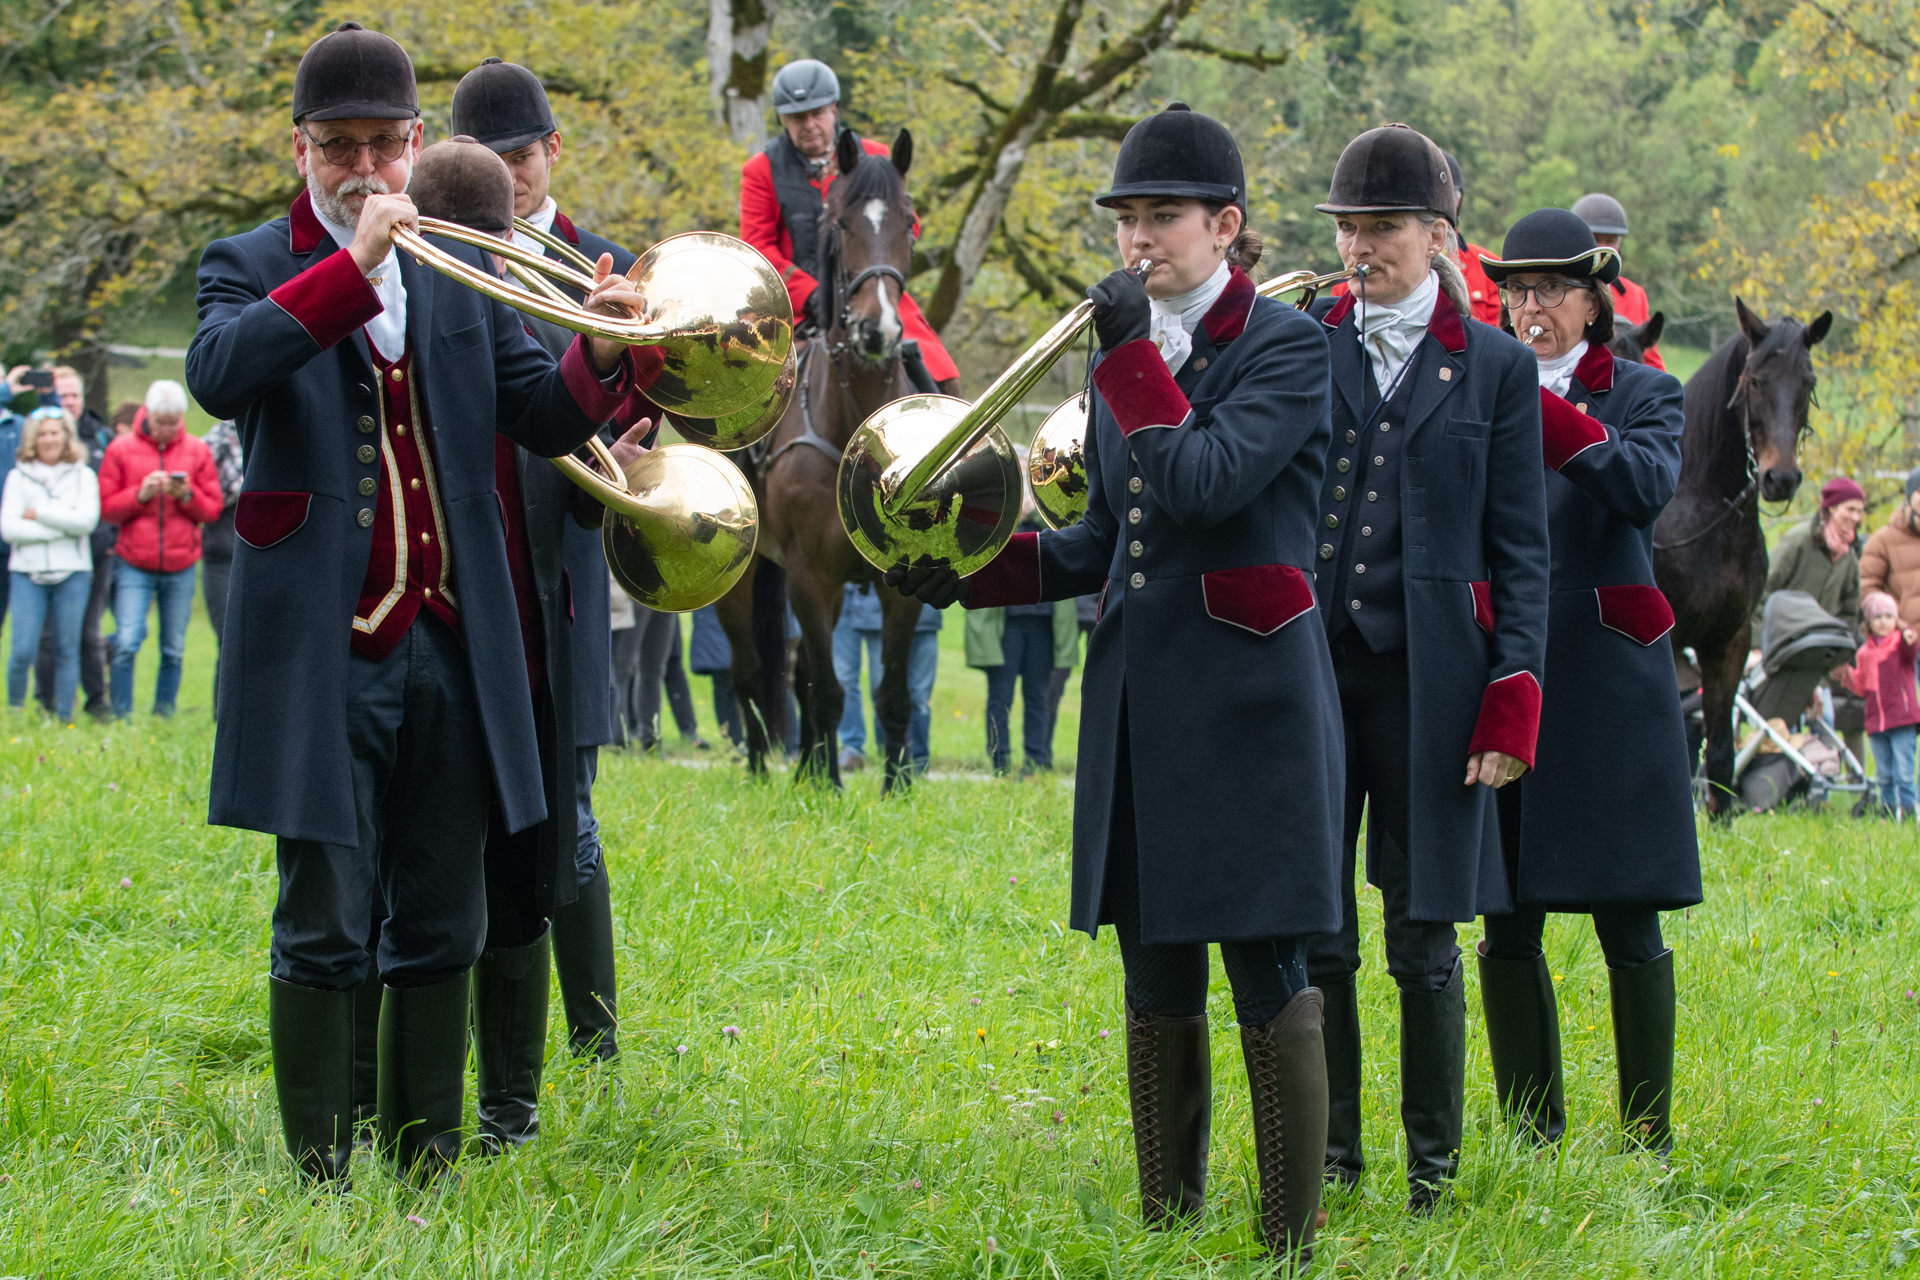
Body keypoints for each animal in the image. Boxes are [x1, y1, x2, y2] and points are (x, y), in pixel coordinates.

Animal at [714, 128, 931, 791]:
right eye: (842, 223)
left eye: (909, 221)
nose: (877, 331)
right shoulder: (810, 575)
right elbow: (831, 692)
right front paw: (831, 788)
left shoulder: (896, 586)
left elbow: (890, 693)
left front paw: (895, 788)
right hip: (745, 577)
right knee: (751, 671)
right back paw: (765, 769)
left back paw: (808, 768)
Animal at [1653, 297, 1831, 817]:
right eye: (1755, 381)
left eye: (1808, 381)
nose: (1780, 478)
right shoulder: (1673, 645)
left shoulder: (1729, 641)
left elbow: (1720, 753)